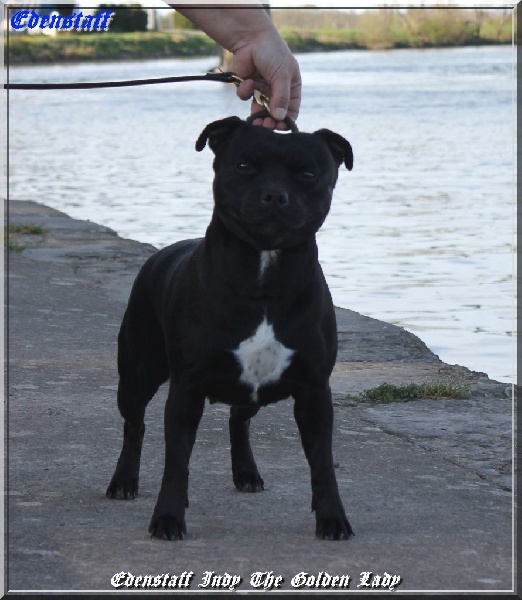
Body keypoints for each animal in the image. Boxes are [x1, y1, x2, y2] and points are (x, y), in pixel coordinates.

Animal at [106, 116, 354, 541]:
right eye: (243, 166)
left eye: (308, 174)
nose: (274, 195)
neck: (264, 269)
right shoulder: (186, 389)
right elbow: (177, 460)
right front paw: (168, 518)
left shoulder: (314, 391)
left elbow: (322, 463)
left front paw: (333, 519)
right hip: (138, 373)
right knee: (134, 424)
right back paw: (124, 481)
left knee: (239, 421)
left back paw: (247, 474)